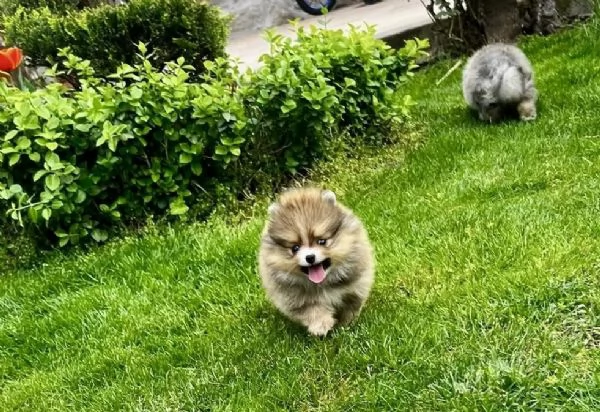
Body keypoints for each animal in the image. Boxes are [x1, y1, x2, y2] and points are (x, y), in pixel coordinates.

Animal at [258, 188, 376, 336]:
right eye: (295, 248)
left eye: (322, 241)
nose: (310, 257)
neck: (322, 284)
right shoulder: (294, 299)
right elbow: (312, 310)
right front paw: (321, 325)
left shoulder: (355, 288)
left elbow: (350, 308)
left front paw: (345, 326)